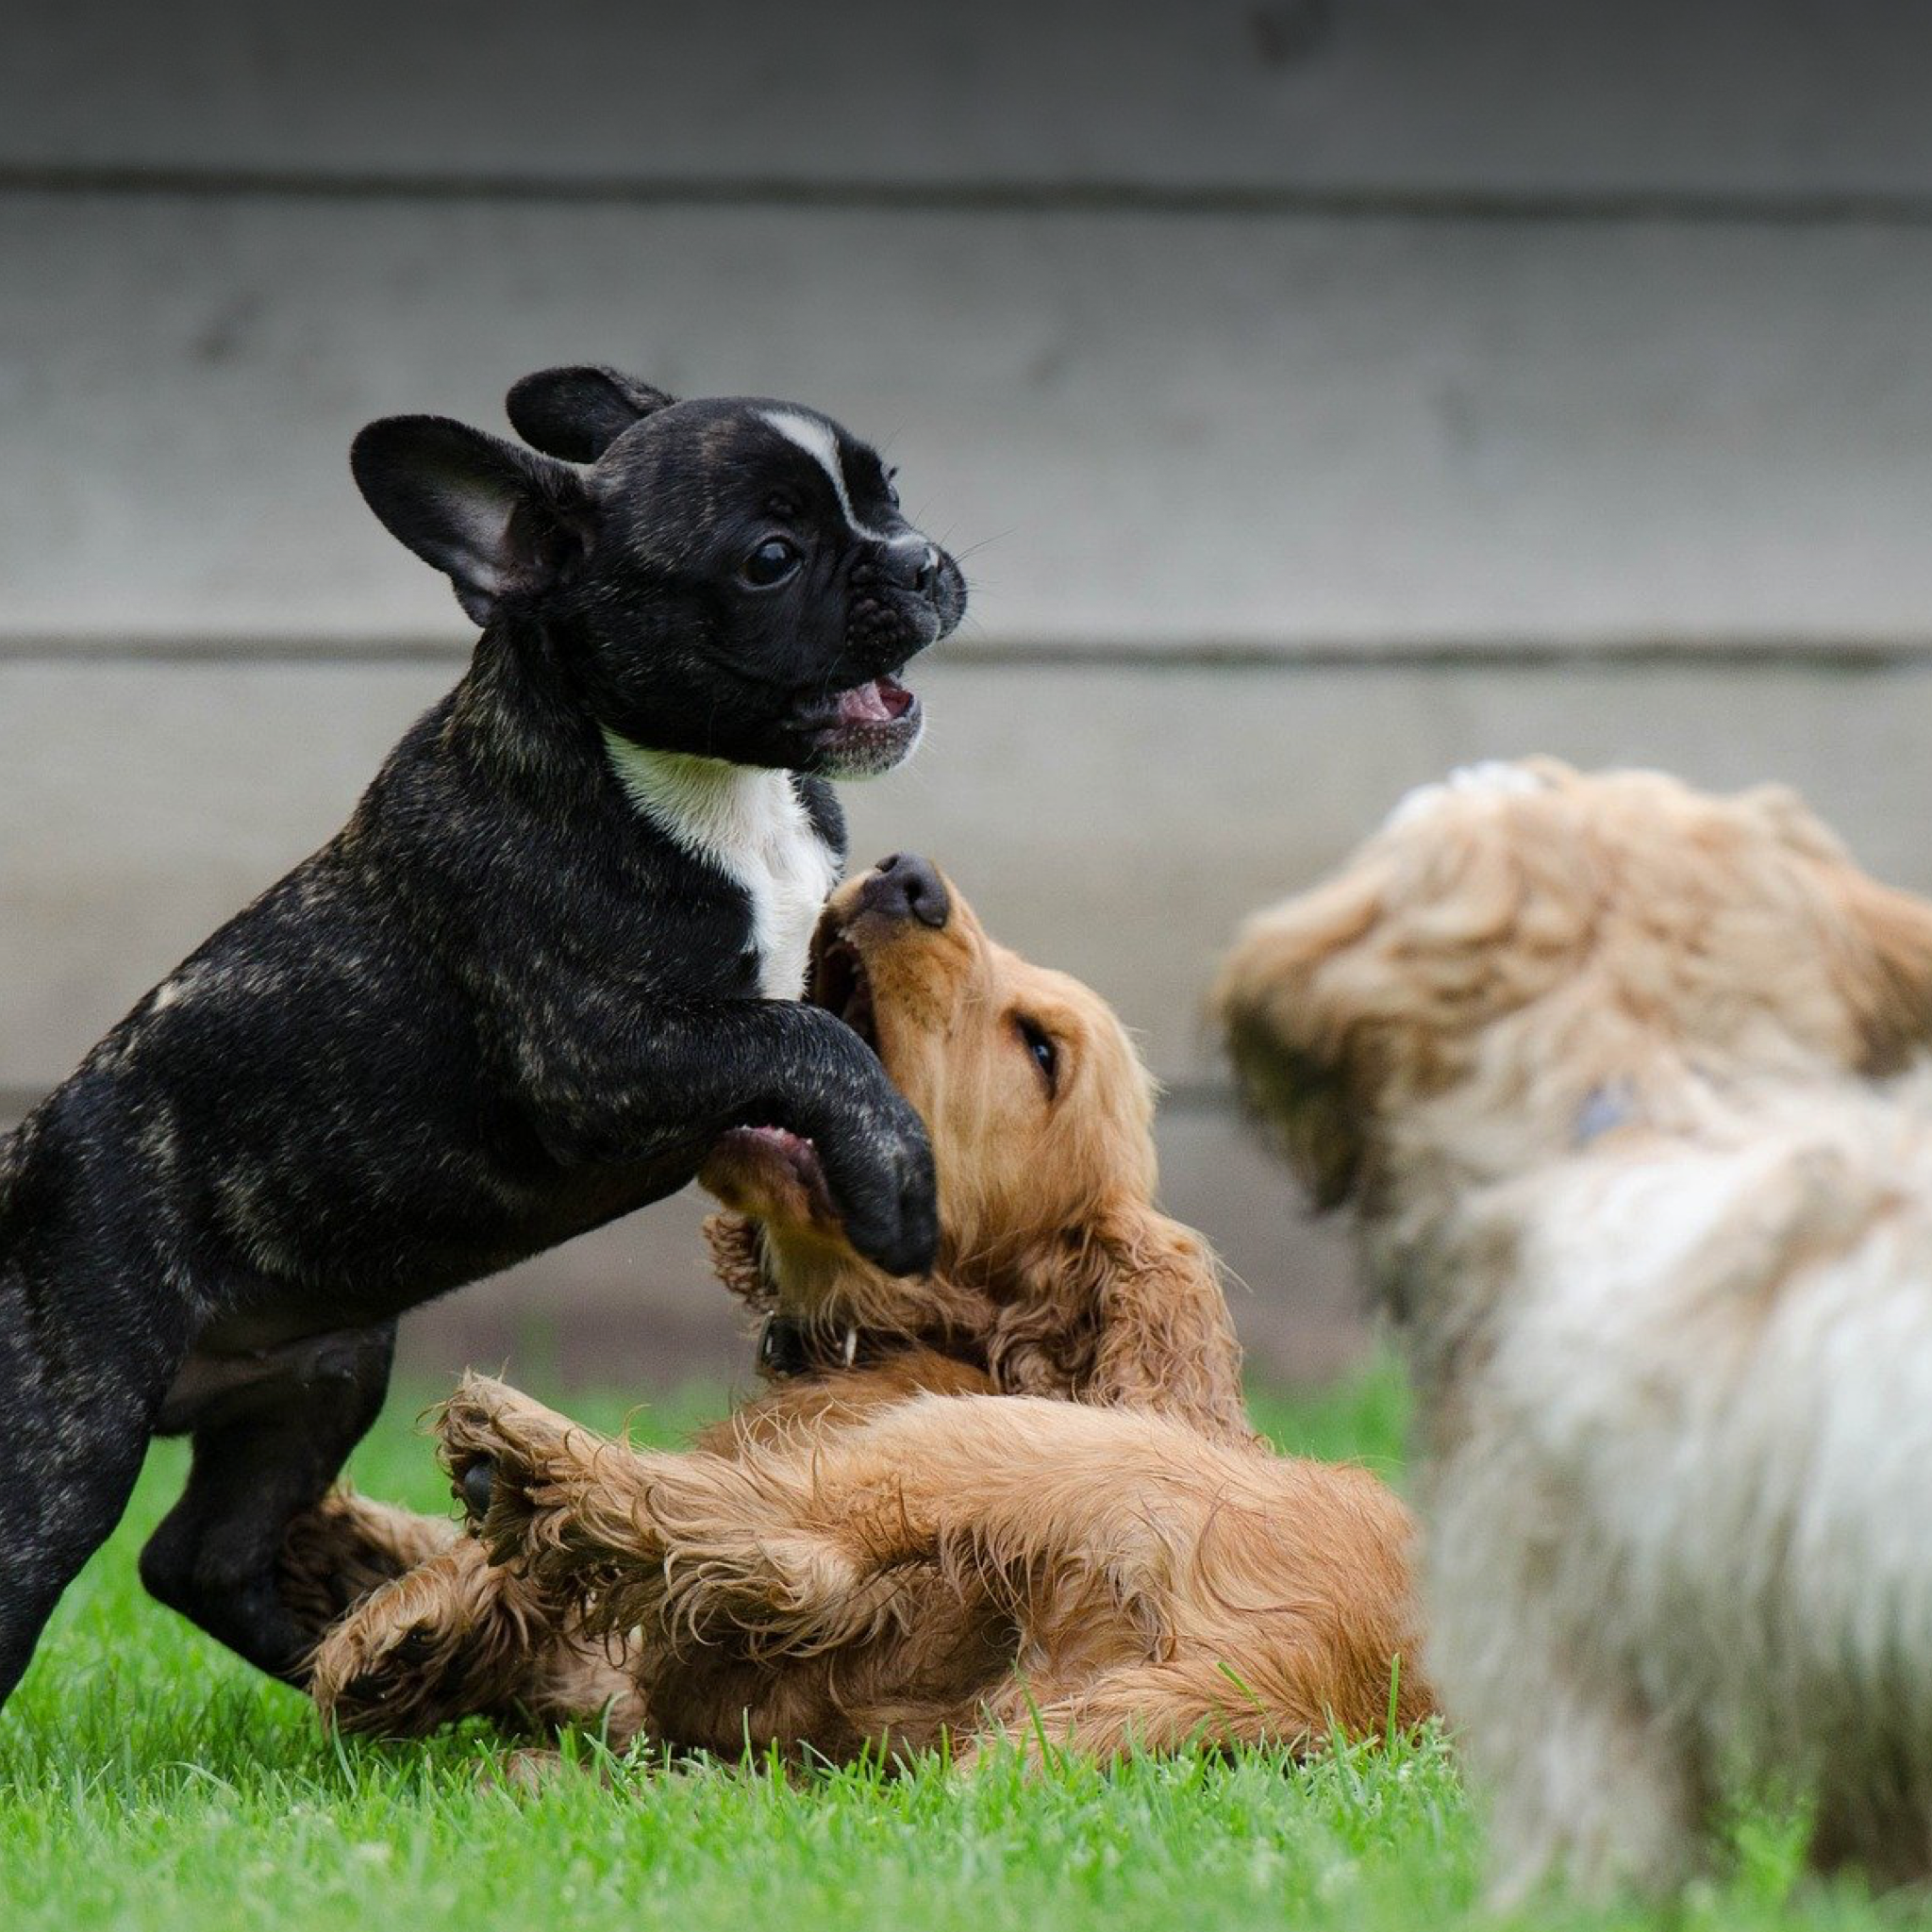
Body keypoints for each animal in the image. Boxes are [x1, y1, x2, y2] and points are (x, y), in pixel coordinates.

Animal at [0, 363, 966, 1707]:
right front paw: (896, 1189)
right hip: (72, 1420)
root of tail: (21, 1157)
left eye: (889, 493)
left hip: (324, 1370)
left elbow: (839, 1025)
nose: (920, 559)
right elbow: (807, 1046)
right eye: (770, 558)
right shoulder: (603, 1055)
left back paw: (361, 1672)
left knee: (199, 1554)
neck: (707, 784)